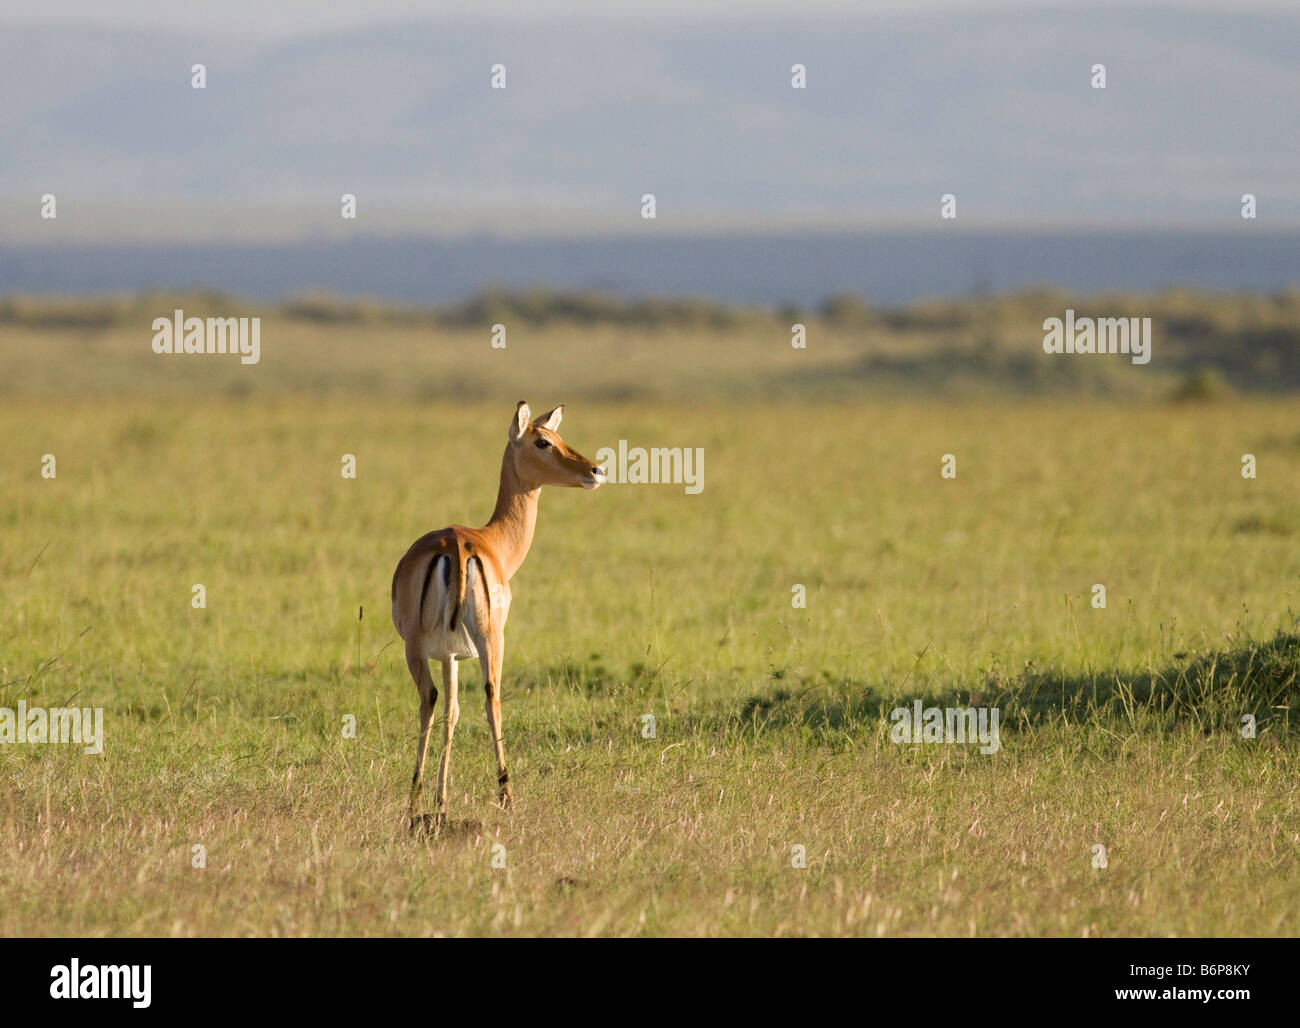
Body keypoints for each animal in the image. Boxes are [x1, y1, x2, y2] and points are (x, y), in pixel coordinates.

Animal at [391, 401, 606, 831]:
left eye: (556, 436)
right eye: (542, 441)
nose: (595, 470)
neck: (491, 540)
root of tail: (457, 545)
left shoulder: (448, 655)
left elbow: (452, 712)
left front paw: (440, 800)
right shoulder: (452, 654)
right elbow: (454, 712)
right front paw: (441, 799)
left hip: (438, 646)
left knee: (443, 697)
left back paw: (428, 799)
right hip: (484, 640)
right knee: (484, 697)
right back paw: (496, 796)